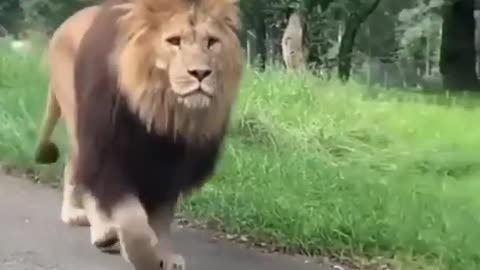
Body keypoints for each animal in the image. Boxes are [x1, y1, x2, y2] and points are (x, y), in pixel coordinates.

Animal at [34, 0, 244, 268]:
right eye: (174, 41)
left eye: (212, 42)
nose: (200, 73)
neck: (160, 110)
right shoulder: (108, 151)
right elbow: (131, 221)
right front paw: (143, 255)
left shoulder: (171, 168)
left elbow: (162, 218)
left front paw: (164, 254)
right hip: (79, 122)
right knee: (81, 173)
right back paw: (99, 230)